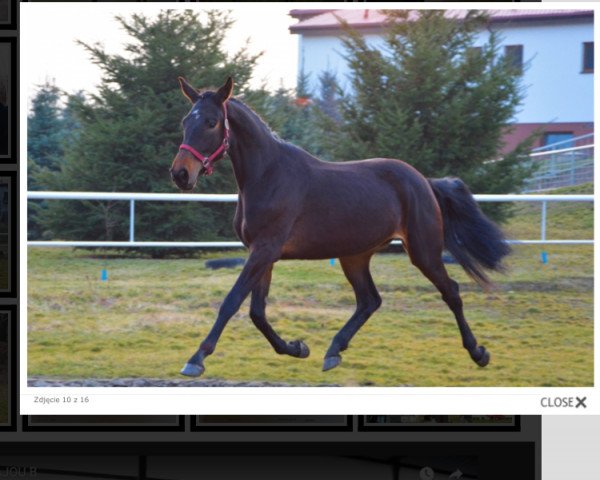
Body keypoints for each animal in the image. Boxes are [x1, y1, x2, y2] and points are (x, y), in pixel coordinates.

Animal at [170, 76, 510, 378]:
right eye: (185, 121)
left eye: (212, 122)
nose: (181, 174)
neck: (268, 176)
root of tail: (424, 182)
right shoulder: (261, 254)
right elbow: (257, 312)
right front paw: (297, 348)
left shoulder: (265, 250)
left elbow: (231, 302)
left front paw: (196, 359)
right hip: (355, 256)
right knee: (369, 301)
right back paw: (333, 350)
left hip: (423, 251)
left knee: (450, 291)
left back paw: (478, 352)